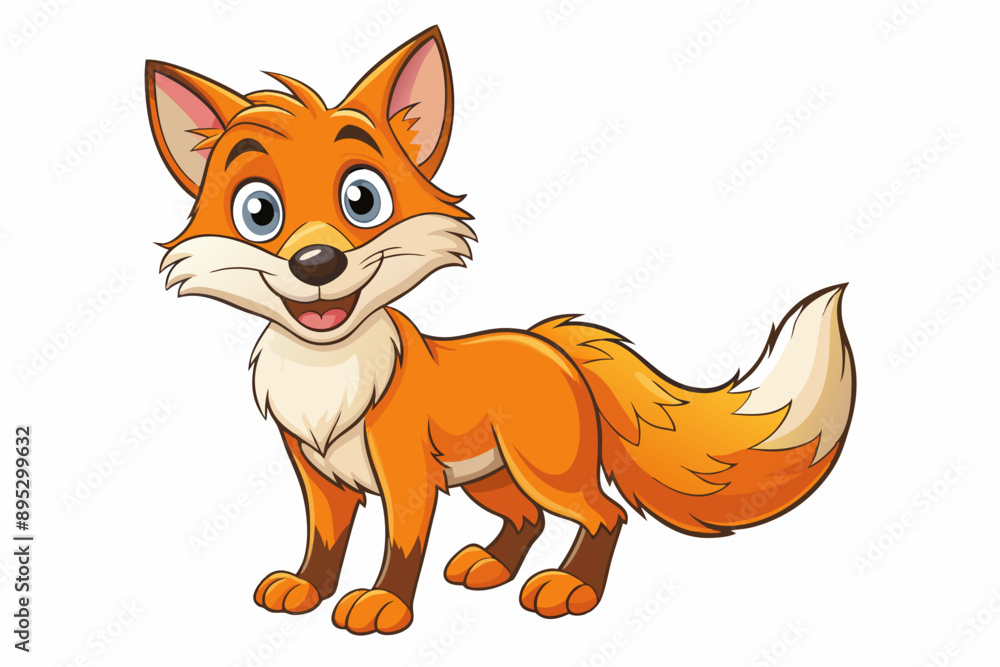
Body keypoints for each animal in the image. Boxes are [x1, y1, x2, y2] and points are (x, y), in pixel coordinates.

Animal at [146, 25, 857, 635]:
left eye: (362, 200)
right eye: (258, 212)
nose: (317, 263)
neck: (329, 372)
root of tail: (549, 341)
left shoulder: (407, 477)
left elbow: (401, 546)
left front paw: (383, 605)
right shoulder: (318, 475)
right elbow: (324, 543)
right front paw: (307, 589)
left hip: (541, 469)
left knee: (602, 514)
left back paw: (571, 589)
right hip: (490, 477)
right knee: (528, 518)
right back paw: (491, 566)